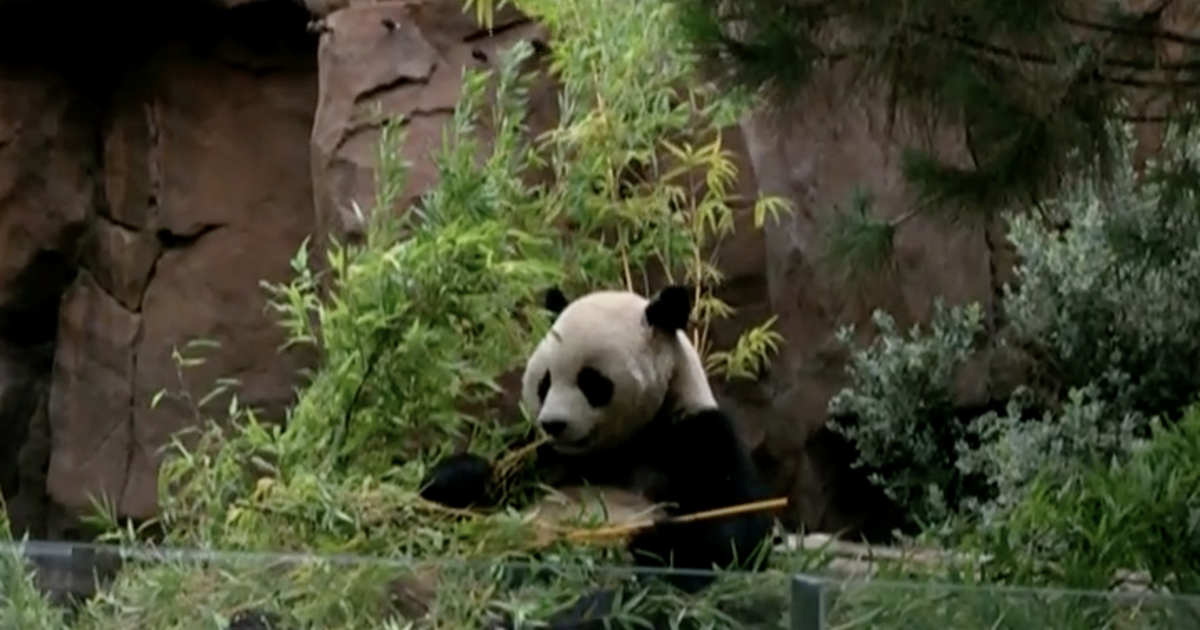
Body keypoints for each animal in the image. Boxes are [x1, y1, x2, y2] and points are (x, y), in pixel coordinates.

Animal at [420, 283, 777, 624]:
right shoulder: (540, 454)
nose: (553, 424)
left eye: (591, 381)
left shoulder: (698, 436)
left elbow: (731, 530)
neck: (620, 445)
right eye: (545, 382)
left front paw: (647, 541)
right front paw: (463, 475)